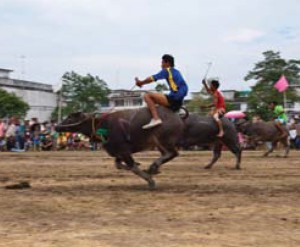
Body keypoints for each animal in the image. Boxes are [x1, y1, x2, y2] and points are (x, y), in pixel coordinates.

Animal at [55, 106, 184, 189]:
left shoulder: (124, 151)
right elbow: (118, 165)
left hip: (163, 141)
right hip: (160, 144)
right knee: (168, 154)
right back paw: (154, 168)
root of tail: (177, 117)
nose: (56, 126)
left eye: (70, 117)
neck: (103, 125)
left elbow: (133, 168)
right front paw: (140, 166)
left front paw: (150, 180)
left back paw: (153, 167)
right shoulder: (118, 152)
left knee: (172, 153)